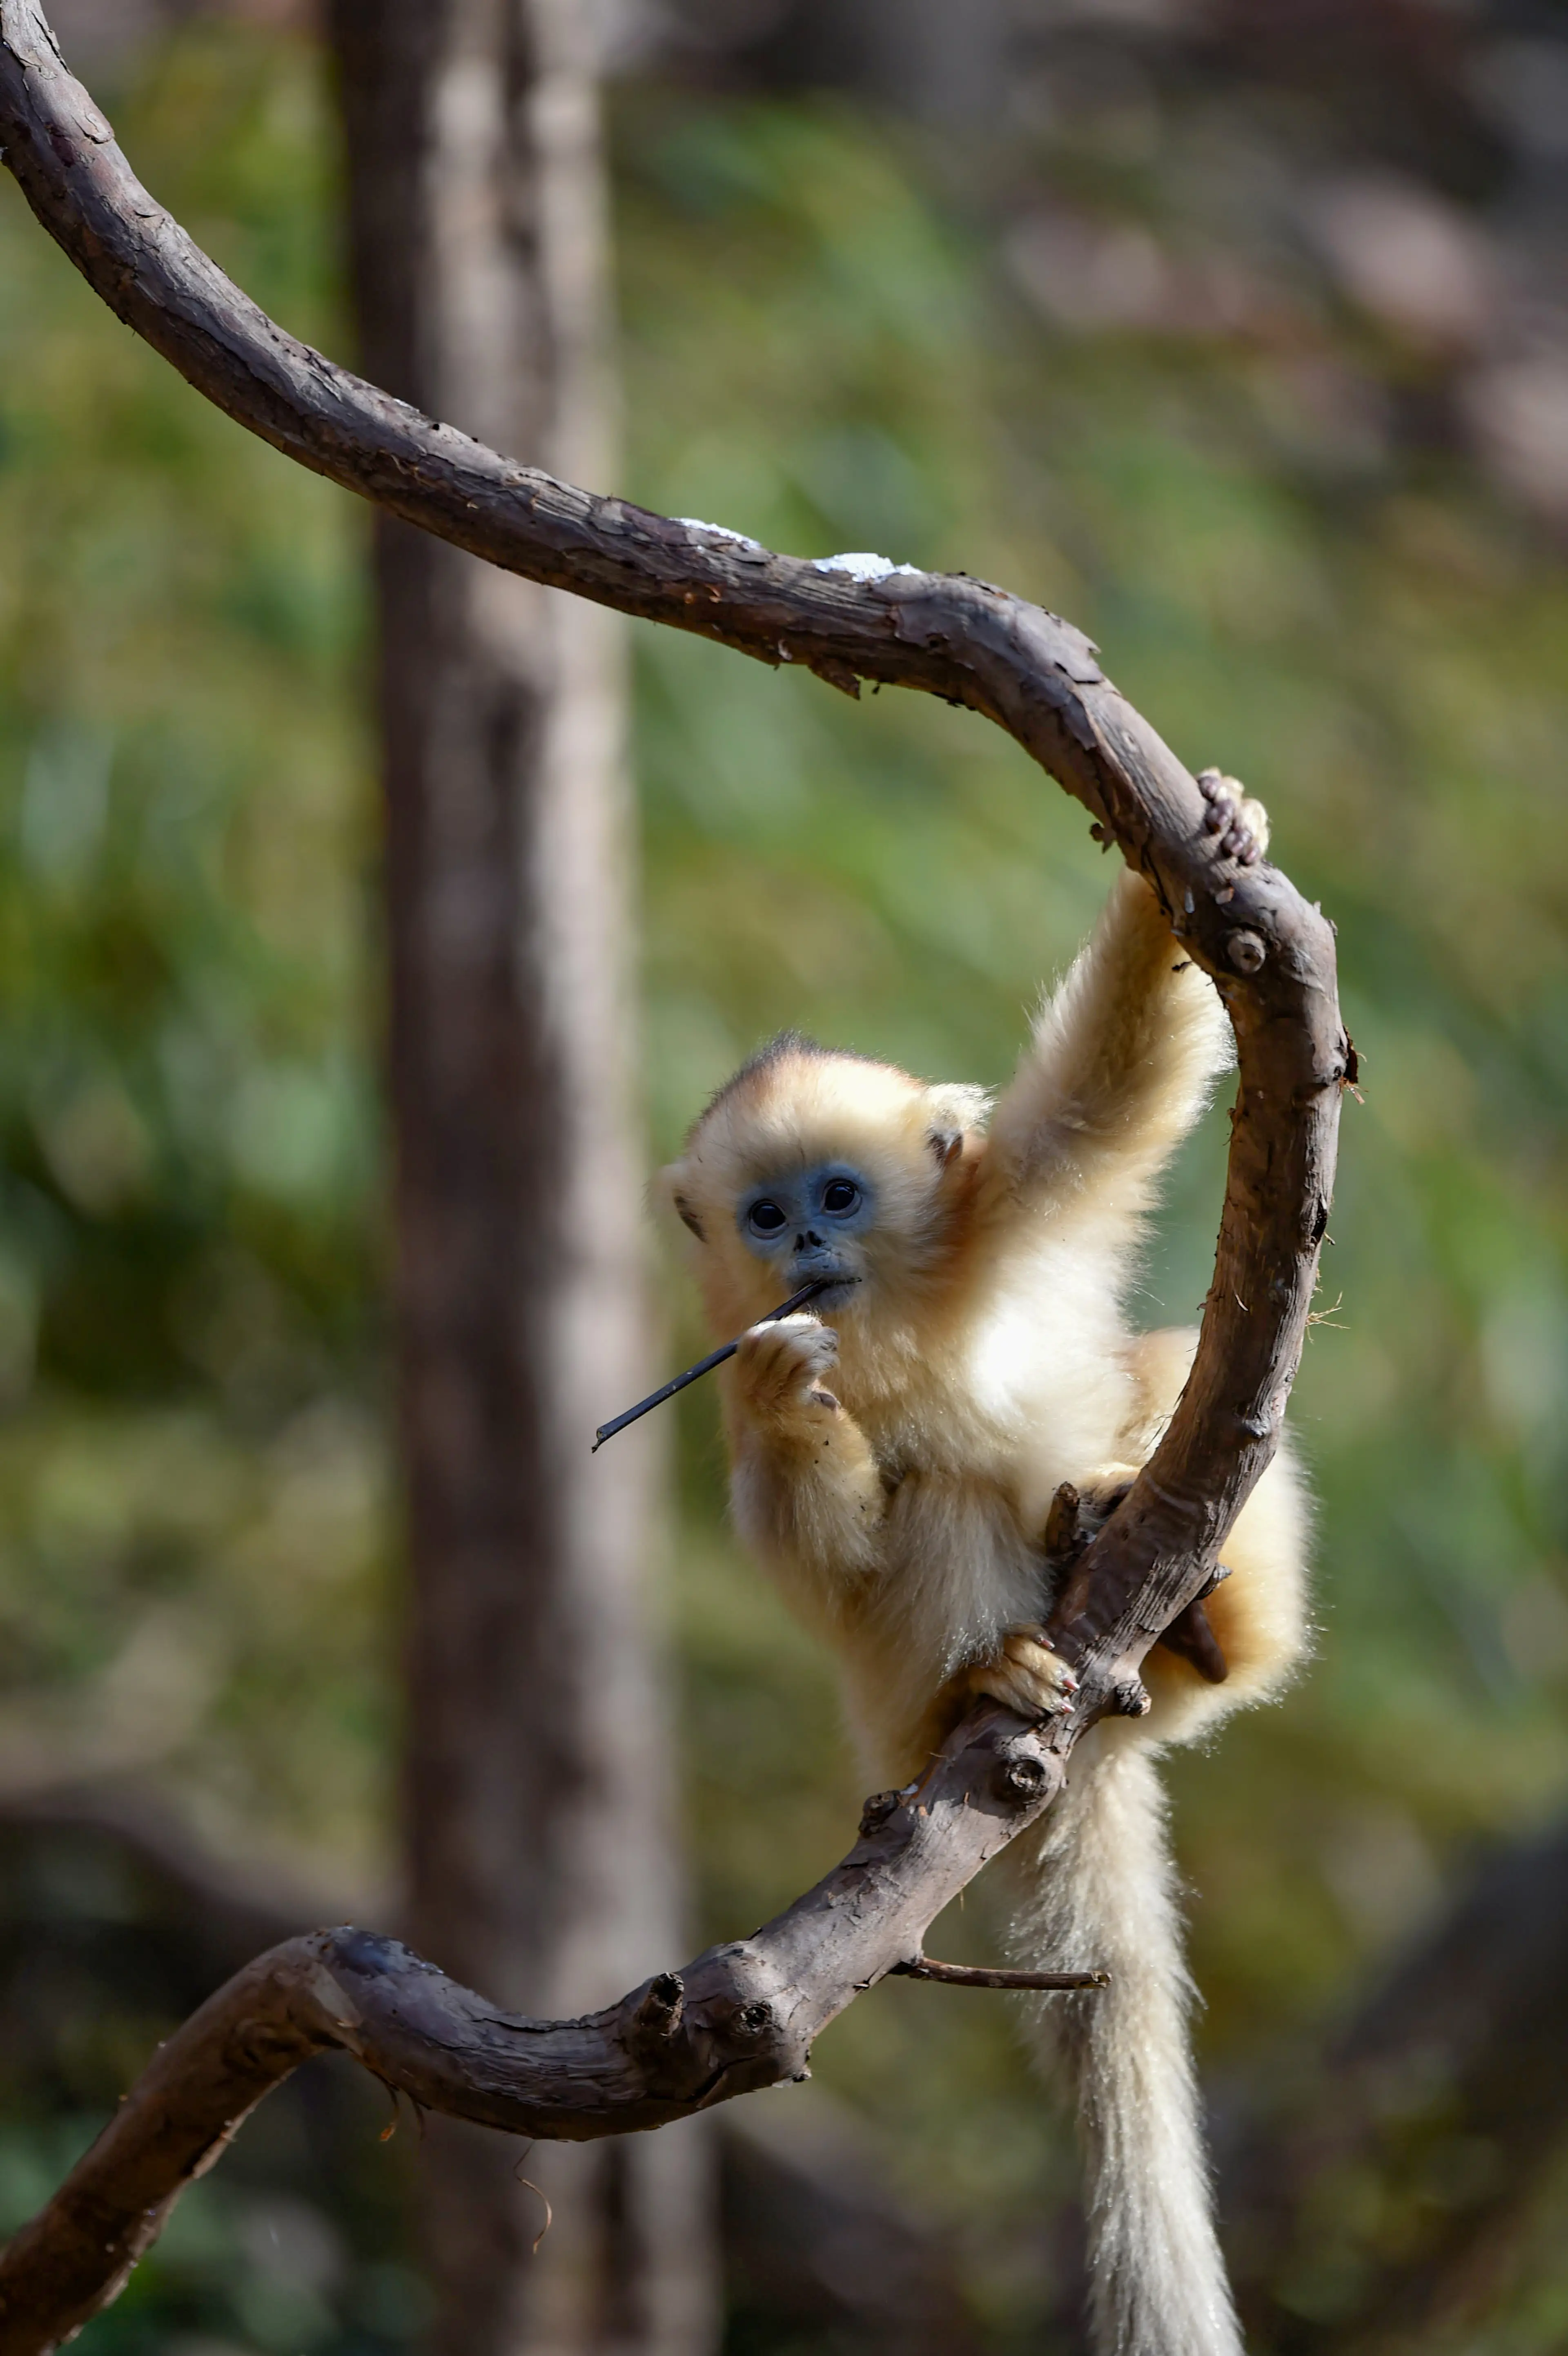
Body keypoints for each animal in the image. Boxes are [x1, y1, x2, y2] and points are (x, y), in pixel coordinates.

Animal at [656, 781, 1309, 2356]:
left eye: (839, 1192)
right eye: (767, 1216)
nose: (809, 1244)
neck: (889, 1313)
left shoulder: (1010, 1202)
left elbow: (1115, 1084)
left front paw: (1192, 856)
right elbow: (826, 1552)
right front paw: (788, 1393)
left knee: (1158, 1371)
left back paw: (1200, 1615)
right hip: (891, 1722)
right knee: (943, 1505)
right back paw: (992, 1681)